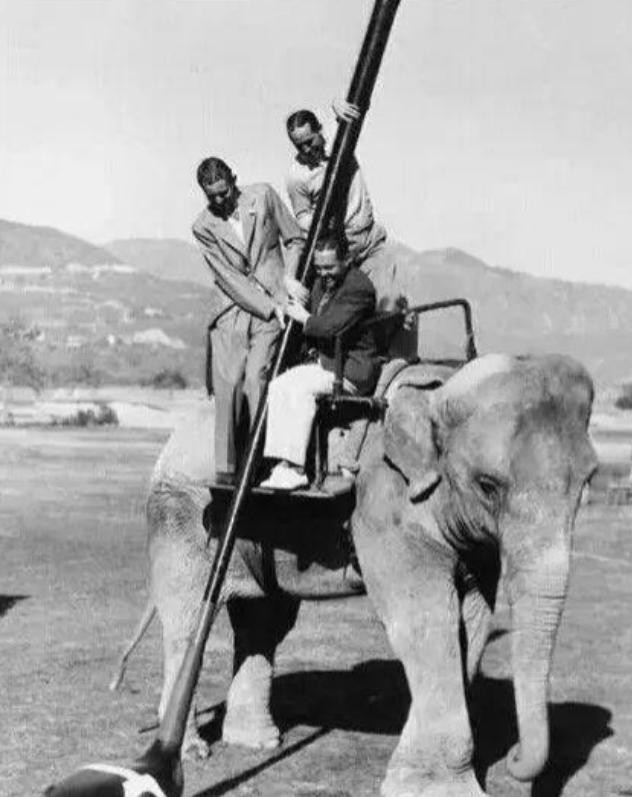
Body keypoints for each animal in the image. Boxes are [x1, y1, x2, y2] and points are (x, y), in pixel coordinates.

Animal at [114, 352, 597, 797]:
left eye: (587, 482)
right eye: (488, 485)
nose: (515, 758)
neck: (441, 388)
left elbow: (471, 619)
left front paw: (416, 778)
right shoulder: (383, 505)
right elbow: (425, 620)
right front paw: (441, 789)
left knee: (264, 623)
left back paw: (257, 743)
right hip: (184, 512)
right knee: (189, 619)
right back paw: (191, 753)